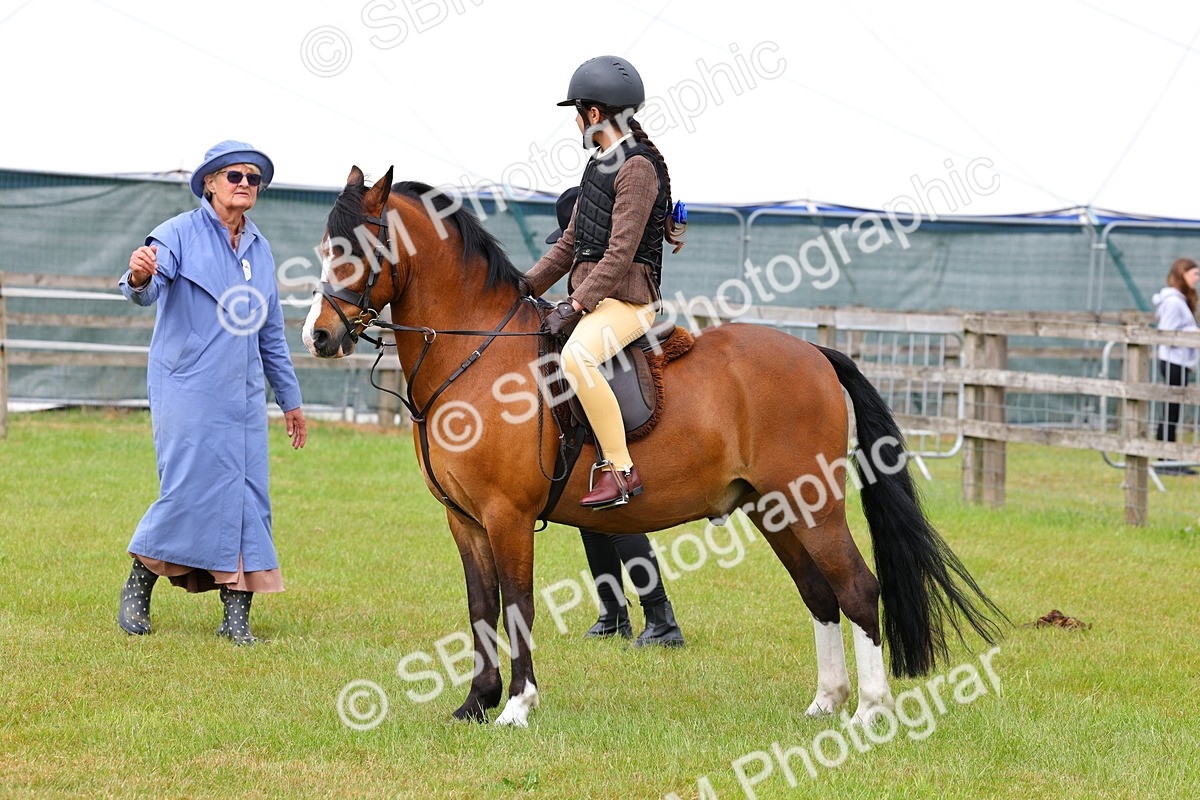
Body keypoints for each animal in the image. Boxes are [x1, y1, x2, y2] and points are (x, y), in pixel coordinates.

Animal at [302, 165, 1005, 727]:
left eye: (356, 247)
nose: (319, 335)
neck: (478, 352)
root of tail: (815, 353)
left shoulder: (508, 517)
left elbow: (517, 605)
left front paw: (518, 707)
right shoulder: (465, 520)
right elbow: (481, 609)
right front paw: (475, 704)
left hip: (814, 506)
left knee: (857, 589)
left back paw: (869, 711)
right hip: (775, 511)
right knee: (820, 594)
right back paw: (825, 703)